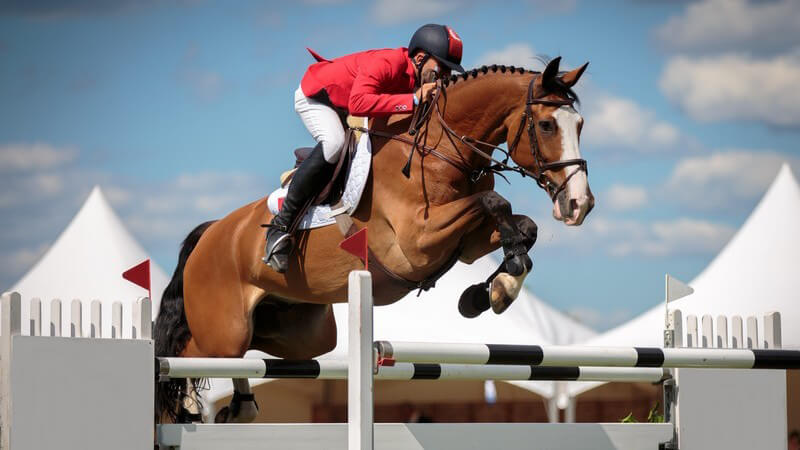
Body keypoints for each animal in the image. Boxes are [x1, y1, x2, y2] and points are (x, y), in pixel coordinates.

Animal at [155, 56, 592, 422]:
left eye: (581, 126)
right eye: (547, 125)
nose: (579, 204)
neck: (440, 151)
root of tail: (211, 233)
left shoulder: (467, 245)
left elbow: (522, 226)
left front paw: (492, 291)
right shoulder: (417, 243)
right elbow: (495, 201)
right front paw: (496, 286)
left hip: (301, 334)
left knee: (247, 351)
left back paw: (240, 406)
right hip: (224, 329)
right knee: (183, 354)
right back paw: (189, 402)